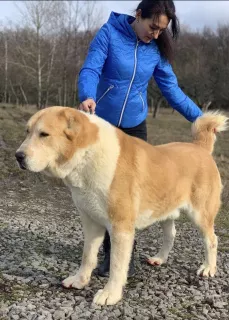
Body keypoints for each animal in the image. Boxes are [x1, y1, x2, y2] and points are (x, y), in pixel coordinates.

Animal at [15, 107, 227, 304]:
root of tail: (200, 148)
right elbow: (87, 256)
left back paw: (208, 268)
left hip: (200, 215)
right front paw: (80, 280)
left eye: (44, 134)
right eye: (27, 131)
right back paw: (160, 258)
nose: (18, 156)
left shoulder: (120, 227)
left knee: (212, 240)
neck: (86, 155)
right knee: (171, 234)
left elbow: (117, 265)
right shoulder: (91, 222)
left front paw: (110, 294)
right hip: (164, 209)